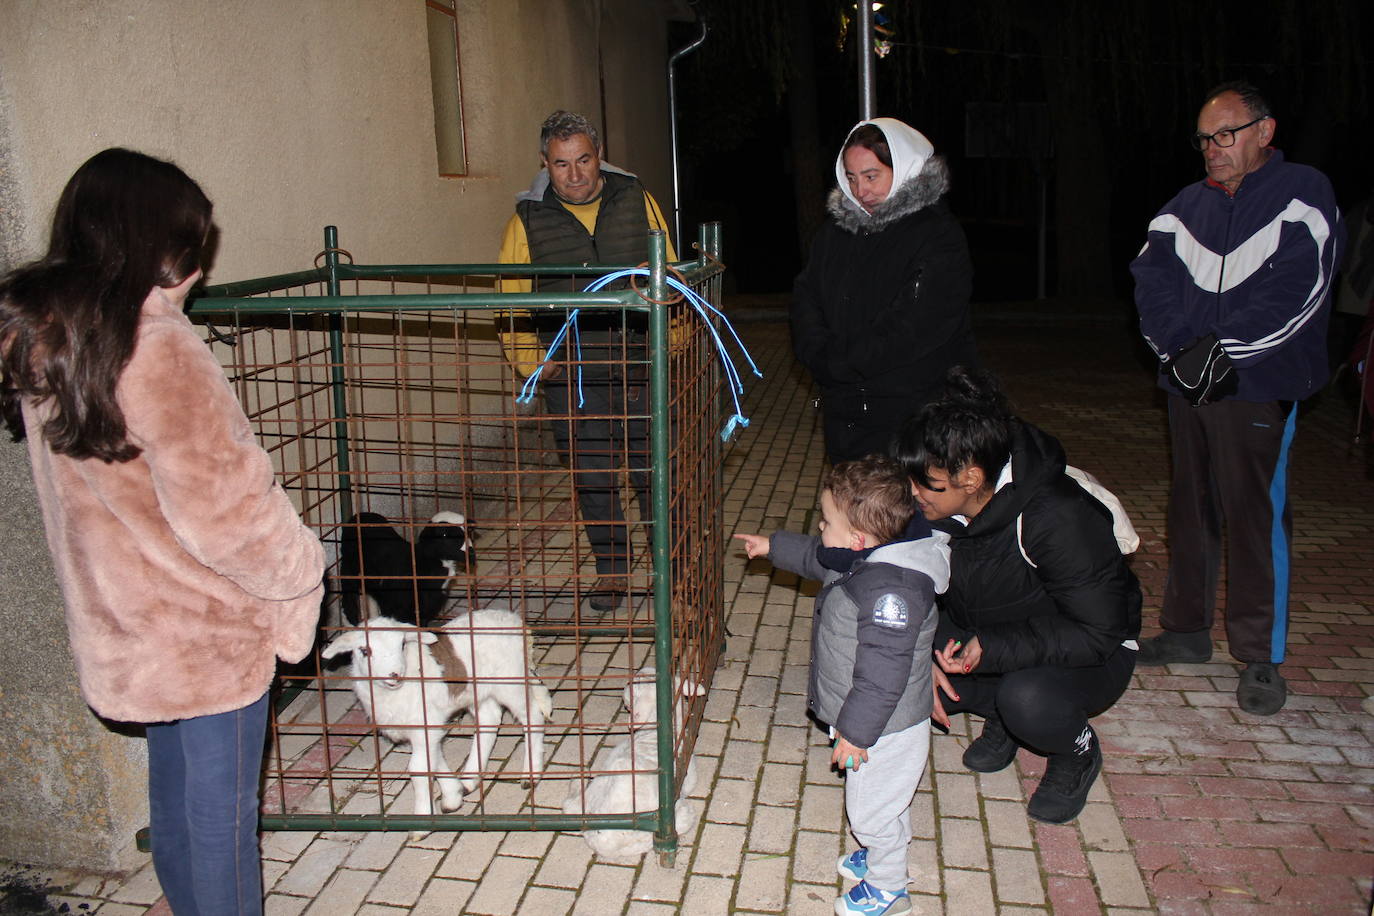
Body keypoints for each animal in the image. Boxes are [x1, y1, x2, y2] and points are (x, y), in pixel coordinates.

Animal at [321, 604, 552, 834]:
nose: (394, 675)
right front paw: (453, 796)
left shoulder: (423, 724)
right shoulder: (427, 727)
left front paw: (421, 824)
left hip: (510, 681)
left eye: (402, 644)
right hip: (477, 690)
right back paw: (470, 778)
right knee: (489, 720)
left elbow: (419, 768)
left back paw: (530, 774)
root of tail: (513, 619)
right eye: (364, 651)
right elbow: (434, 759)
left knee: (531, 715)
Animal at [336, 513, 472, 626]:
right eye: (444, 535)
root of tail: (358, 515)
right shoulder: (398, 601)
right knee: (349, 596)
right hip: (349, 569)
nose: (470, 552)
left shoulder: (428, 604)